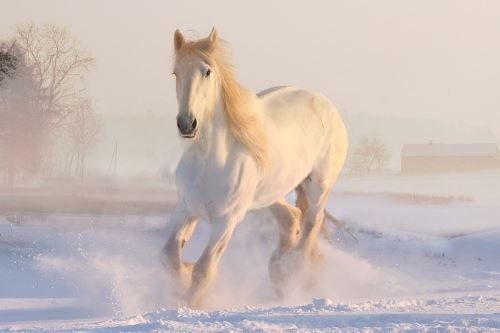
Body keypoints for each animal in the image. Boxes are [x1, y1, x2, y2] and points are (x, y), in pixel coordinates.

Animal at [164, 27, 348, 306]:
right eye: (176, 72)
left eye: (207, 71)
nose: (187, 124)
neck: (210, 161)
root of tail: (326, 104)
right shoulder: (186, 209)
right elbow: (170, 256)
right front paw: (182, 279)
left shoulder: (226, 220)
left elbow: (203, 270)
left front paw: (190, 302)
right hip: (271, 193)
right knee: (291, 218)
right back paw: (279, 270)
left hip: (319, 184)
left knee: (311, 223)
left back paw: (292, 270)